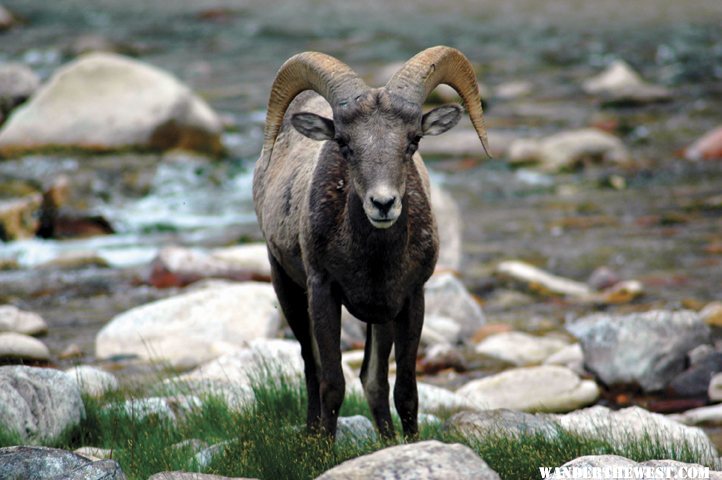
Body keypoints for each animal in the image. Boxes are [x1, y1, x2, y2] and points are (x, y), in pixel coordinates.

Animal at [250, 46, 486, 438]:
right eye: (344, 144)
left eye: (413, 141)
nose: (383, 203)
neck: (373, 261)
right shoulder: (323, 293)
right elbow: (332, 383)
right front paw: (324, 450)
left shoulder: (408, 299)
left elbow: (404, 390)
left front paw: (408, 445)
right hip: (287, 288)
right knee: (311, 367)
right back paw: (312, 436)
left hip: (380, 319)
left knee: (372, 380)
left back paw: (386, 440)